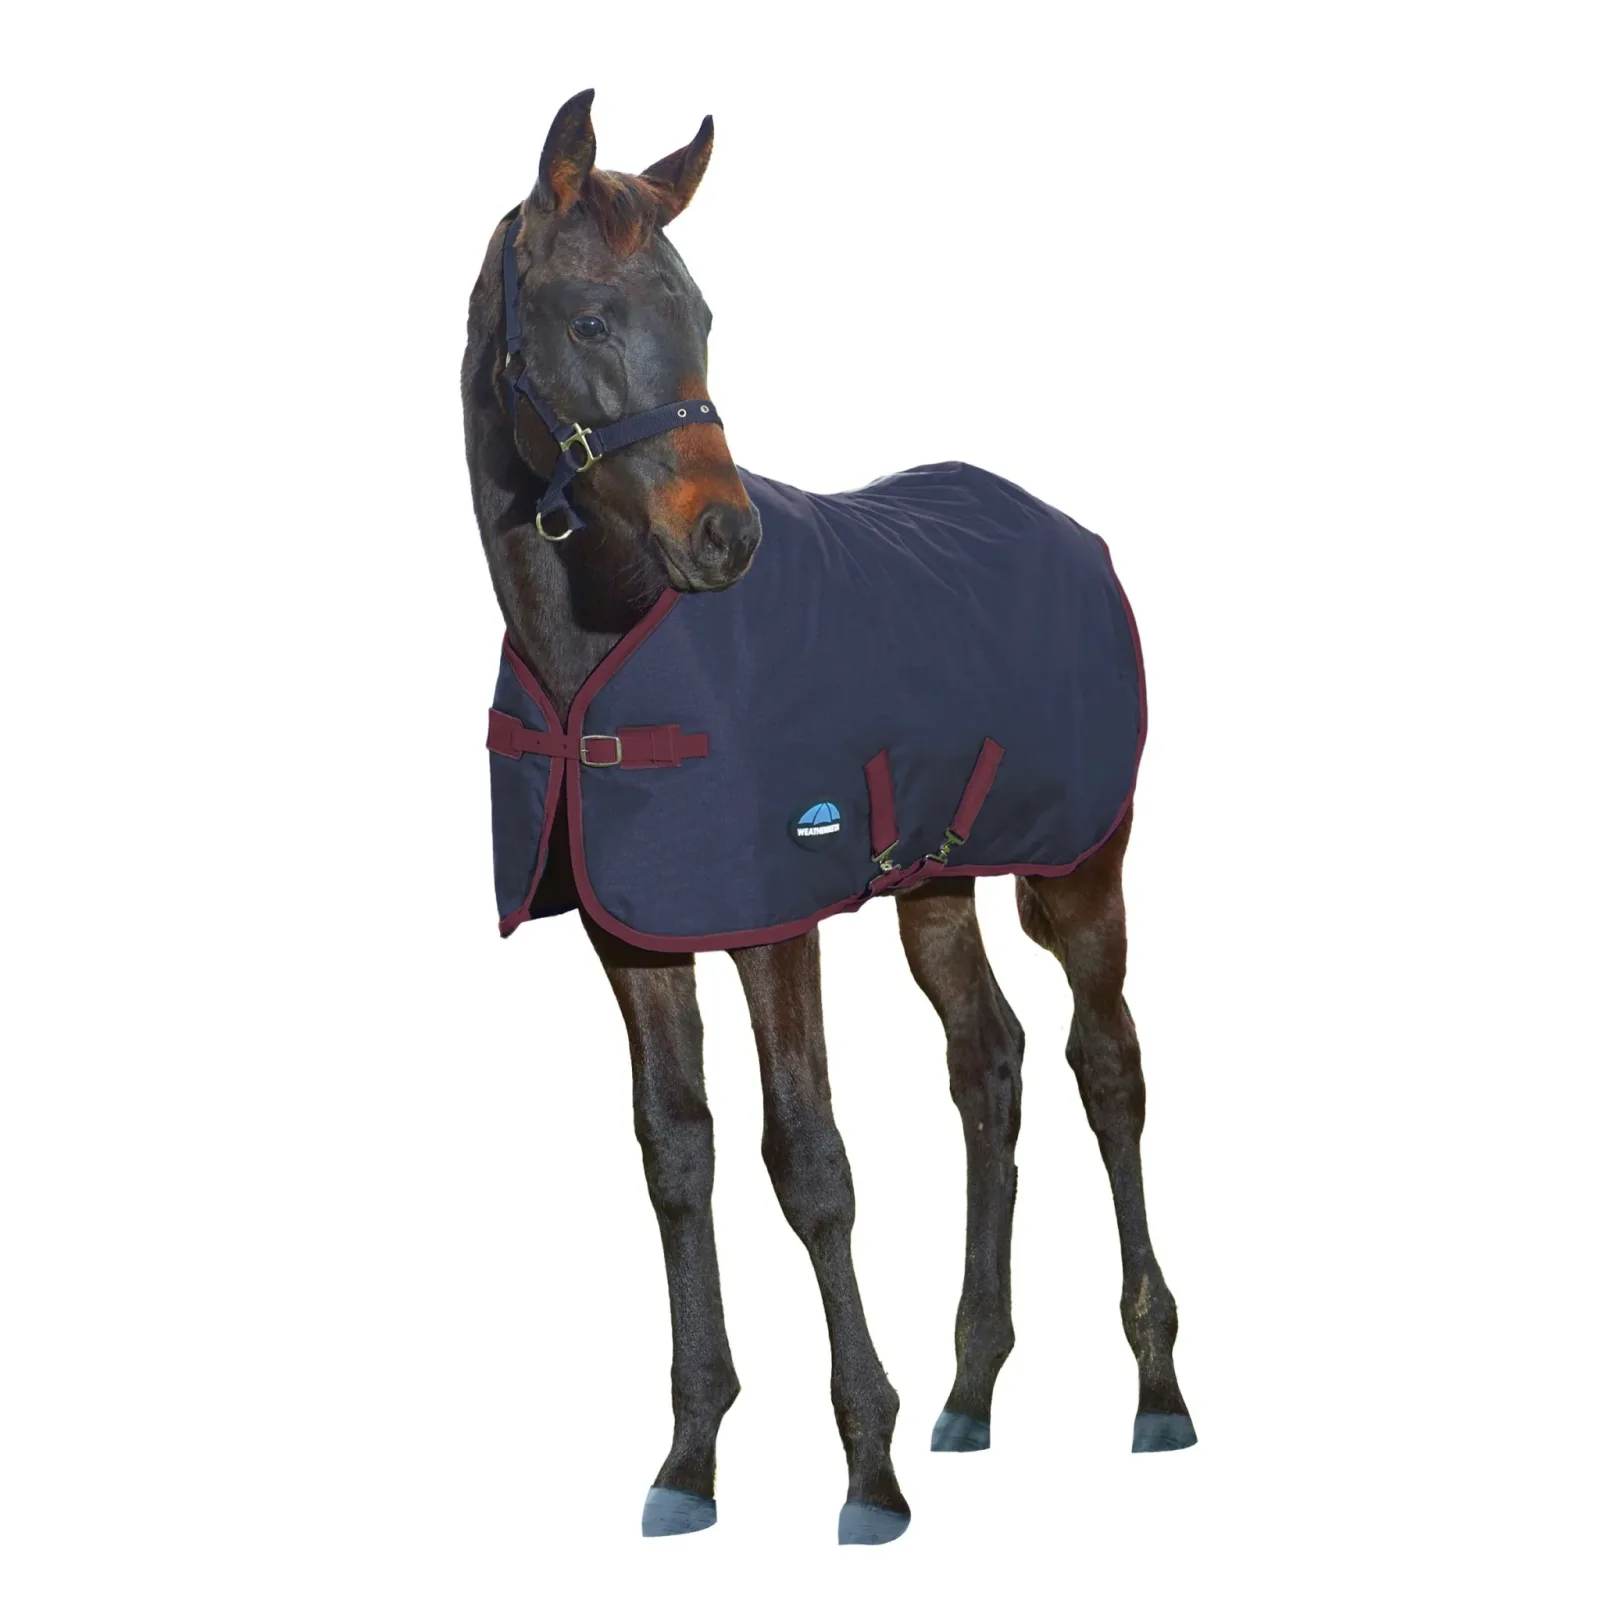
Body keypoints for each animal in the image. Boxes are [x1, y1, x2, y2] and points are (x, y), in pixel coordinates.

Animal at [460, 88, 1194, 1546]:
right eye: (589, 320)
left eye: (701, 313)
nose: (724, 538)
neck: (600, 654)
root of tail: (1073, 533)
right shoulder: (636, 939)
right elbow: (678, 1158)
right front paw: (690, 1462)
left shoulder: (770, 921)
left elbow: (807, 1161)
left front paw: (868, 1469)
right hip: (936, 885)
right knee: (988, 1062)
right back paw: (971, 1391)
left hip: (1080, 869)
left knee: (1106, 1065)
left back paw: (1155, 1391)